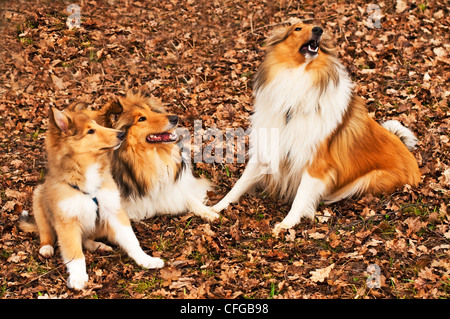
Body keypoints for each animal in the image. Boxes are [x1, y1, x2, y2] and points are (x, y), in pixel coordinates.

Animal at [19, 104, 163, 292]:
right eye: (90, 131)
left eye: (96, 125)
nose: (121, 134)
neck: (87, 171)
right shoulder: (67, 222)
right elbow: (74, 252)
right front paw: (78, 278)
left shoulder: (113, 211)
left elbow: (131, 240)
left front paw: (146, 260)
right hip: (38, 198)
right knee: (46, 233)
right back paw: (46, 248)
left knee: (86, 239)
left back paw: (99, 246)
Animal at [213, 22, 420, 235]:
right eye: (297, 28)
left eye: (315, 27)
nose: (318, 29)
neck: (298, 76)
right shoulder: (269, 146)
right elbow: (241, 183)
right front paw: (215, 208)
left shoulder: (315, 163)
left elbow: (301, 196)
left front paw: (287, 223)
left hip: (367, 179)